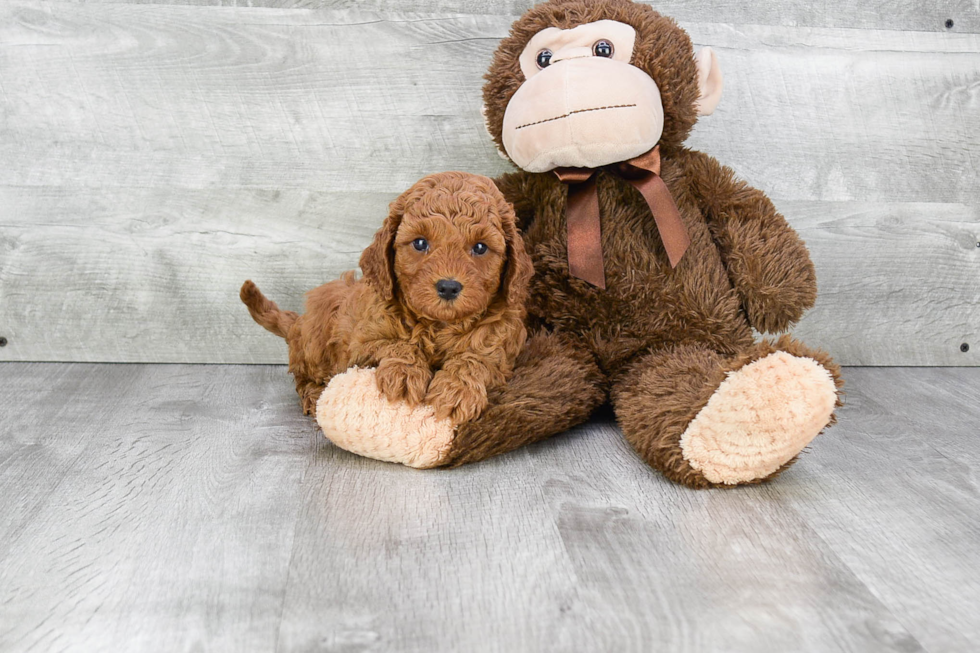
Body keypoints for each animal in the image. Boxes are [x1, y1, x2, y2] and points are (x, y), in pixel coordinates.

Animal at [240, 171, 532, 422]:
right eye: (420, 243)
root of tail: (298, 323)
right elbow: (397, 344)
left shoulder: (502, 349)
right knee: (302, 377)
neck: (437, 325)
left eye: (480, 247)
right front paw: (404, 374)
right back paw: (314, 396)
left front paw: (457, 390)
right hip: (316, 342)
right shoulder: (359, 345)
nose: (448, 287)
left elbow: (476, 359)